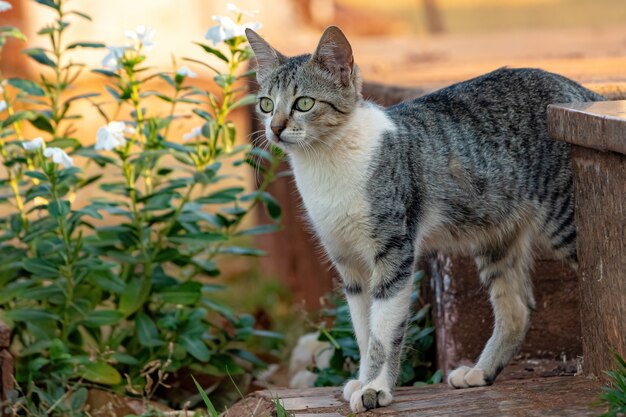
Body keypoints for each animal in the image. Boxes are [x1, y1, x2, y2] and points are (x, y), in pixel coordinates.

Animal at [243, 26, 600, 412]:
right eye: (266, 104)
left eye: (304, 103)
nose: (275, 128)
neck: (324, 165)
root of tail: (584, 93)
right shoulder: (349, 265)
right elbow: (363, 330)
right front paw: (363, 381)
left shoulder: (395, 249)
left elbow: (383, 330)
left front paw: (376, 389)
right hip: (496, 235)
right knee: (517, 309)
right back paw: (480, 373)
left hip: (565, 219)